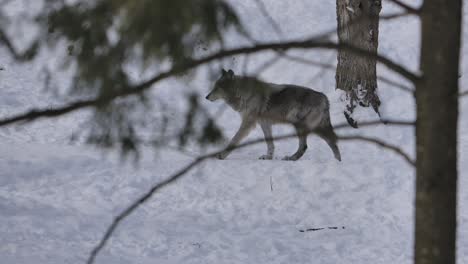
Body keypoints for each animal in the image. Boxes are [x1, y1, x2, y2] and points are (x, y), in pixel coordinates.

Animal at [207, 69, 342, 161]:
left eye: (217, 88)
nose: (206, 97)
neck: (243, 93)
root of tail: (324, 97)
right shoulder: (264, 123)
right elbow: (270, 143)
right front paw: (268, 157)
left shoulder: (248, 124)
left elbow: (234, 140)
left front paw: (222, 155)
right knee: (323, 143)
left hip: (304, 126)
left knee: (312, 145)